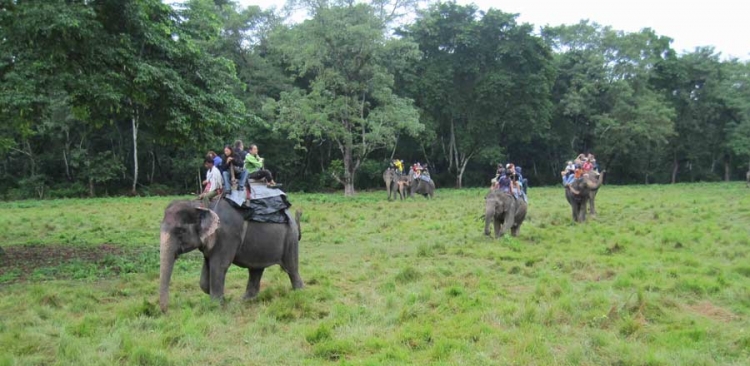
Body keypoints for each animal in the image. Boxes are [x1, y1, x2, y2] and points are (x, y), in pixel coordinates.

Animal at [159, 199, 302, 314]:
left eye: (180, 231)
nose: (167, 311)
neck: (203, 205)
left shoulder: (226, 236)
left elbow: (219, 266)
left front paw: (216, 306)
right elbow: (205, 276)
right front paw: (221, 299)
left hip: (290, 238)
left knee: (291, 268)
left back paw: (299, 293)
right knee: (256, 269)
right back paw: (246, 300)